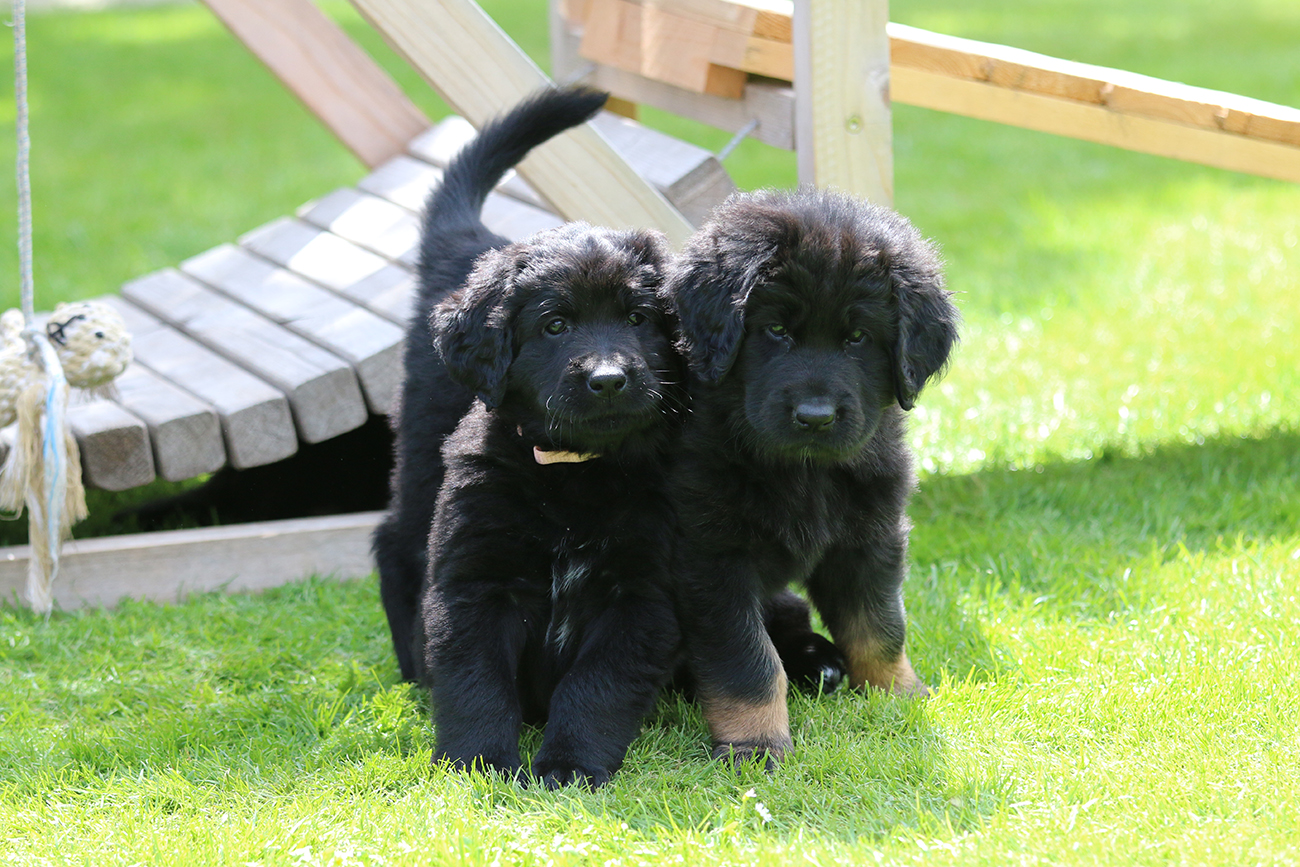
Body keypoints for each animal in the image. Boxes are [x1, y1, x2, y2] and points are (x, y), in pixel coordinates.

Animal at [384, 86, 687, 788]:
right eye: (554, 325)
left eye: (639, 319)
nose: (609, 379)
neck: (576, 474)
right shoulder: (473, 581)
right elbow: (476, 683)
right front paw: (477, 764)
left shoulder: (643, 594)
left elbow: (595, 687)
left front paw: (569, 765)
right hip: (421, 457)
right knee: (392, 542)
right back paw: (411, 668)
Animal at [661, 187, 958, 765]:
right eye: (776, 330)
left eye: (858, 337)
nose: (816, 416)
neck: (805, 472)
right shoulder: (712, 557)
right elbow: (747, 660)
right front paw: (755, 742)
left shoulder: (870, 537)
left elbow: (880, 626)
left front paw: (897, 695)